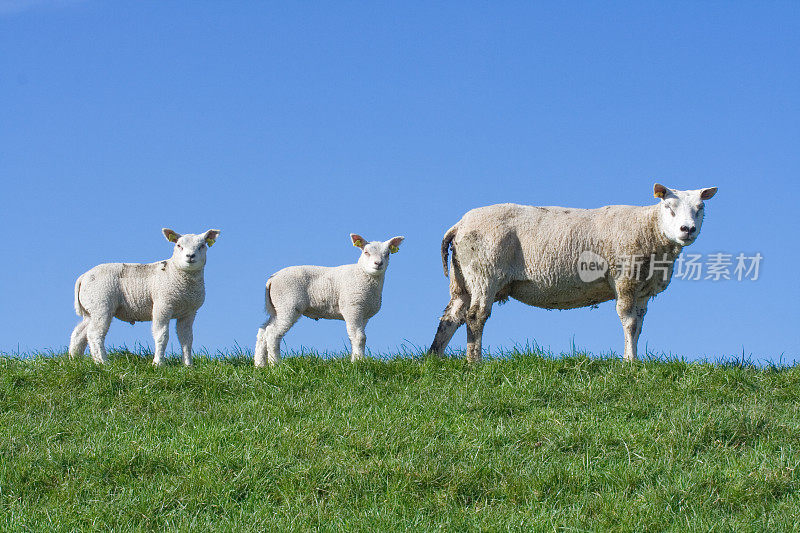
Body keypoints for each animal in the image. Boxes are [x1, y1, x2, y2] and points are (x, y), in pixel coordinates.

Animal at [67, 227, 219, 364]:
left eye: (202, 246)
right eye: (179, 245)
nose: (190, 256)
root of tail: (83, 277)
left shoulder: (189, 312)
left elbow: (186, 339)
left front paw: (188, 365)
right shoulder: (162, 305)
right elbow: (162, 335)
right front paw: (158, 363)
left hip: (91, 308)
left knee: (79, 333)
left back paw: (75, 360)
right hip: (101, 303)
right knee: (94, 334)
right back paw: (103, 362)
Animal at [253, 233, 404, 366]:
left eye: (388, 253)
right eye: (366, 252)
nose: (378, 263)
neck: (362, 274)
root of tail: (272, 279)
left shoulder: (364, 314)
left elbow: (359, 337)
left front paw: (356, 359)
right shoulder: (352, 307)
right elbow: (359, 337)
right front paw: (358, 362)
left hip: (276, 308)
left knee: (263, 331)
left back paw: (260, 364)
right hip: (288, 305)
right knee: (273, 333)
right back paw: (275, 364)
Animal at [432, 183, 720, 362]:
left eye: (700, 208)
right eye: (668, 208)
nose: (687, 229)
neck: (648, 227)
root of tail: (459, 225)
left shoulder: (643, 289)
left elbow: (639, 325)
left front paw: (636, 357)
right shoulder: (625, 279)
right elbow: (628, 322)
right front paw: (630, 361)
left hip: (462, 277)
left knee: (451, 317)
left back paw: (434, 357)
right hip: (485, 271)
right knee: (475, 316)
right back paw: (475, 361)